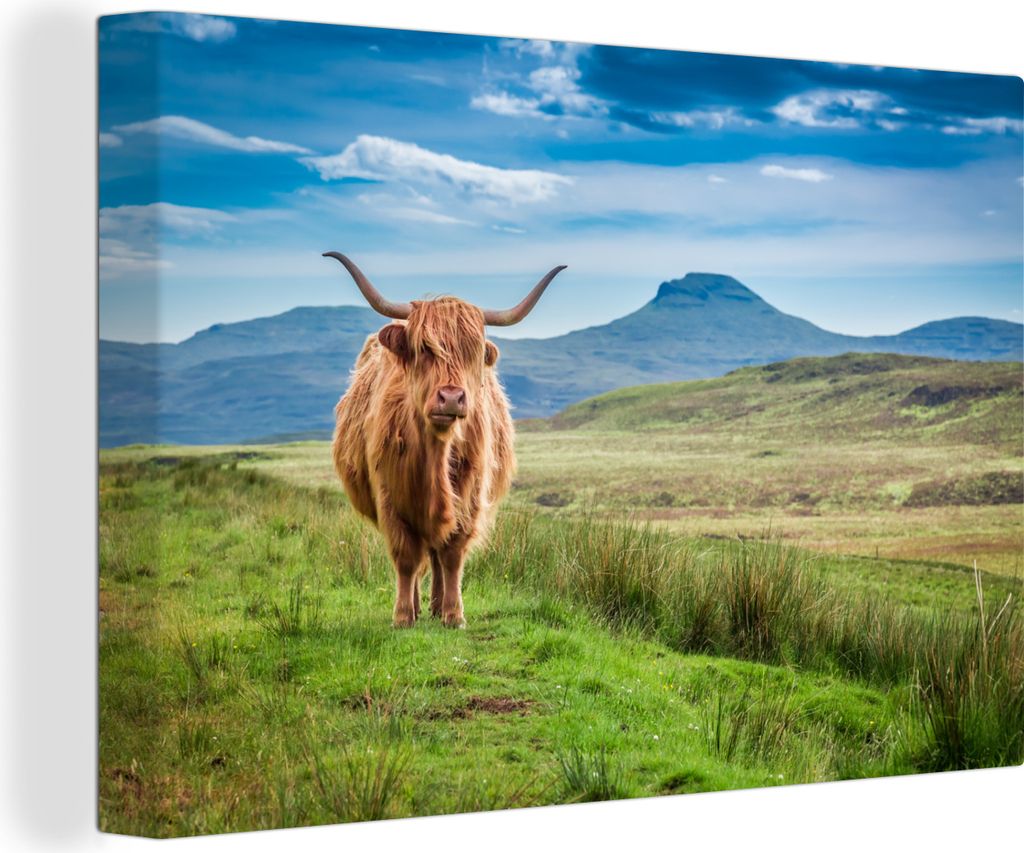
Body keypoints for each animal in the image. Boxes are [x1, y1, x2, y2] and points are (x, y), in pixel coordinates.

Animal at [325, 252, 566, 628]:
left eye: (473, 352)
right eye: (425, 348)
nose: (451, 398)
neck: (434, 454)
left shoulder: (469, 496)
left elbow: (451, 554)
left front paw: (454, 614)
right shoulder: (389, 497)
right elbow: (406, 557)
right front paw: (403, 616)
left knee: (437, 555)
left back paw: (438, 606)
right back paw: (418, 605)